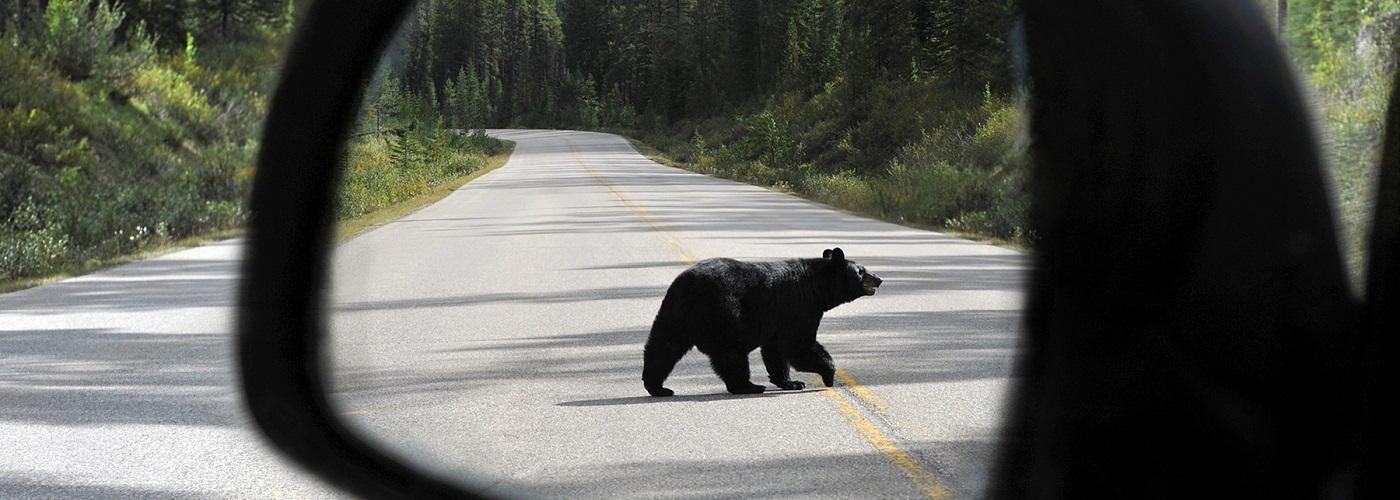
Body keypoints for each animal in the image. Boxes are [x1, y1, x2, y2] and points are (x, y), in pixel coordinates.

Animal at [641, 247, 879, 394]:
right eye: (861, 271)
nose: (879, 278)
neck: (817, 287)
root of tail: (686, 286)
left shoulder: (778, 320)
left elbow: (776, 351)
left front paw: (791, 382)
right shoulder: (800, 309)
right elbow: (799, 346)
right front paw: (828, 376)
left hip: (673, 314)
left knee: (663, 347)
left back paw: (657, 387)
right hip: (724, 313)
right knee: (731, 354)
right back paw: (748, 386)